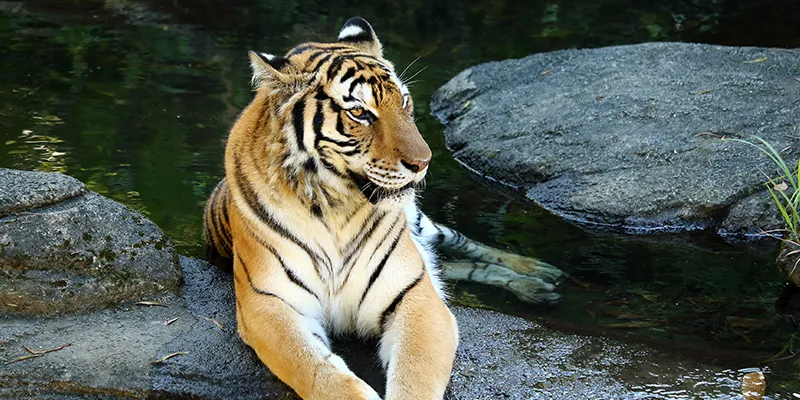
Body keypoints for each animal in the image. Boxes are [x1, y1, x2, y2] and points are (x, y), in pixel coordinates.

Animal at [202, 17, 563, 400]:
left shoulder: (415, 294)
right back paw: (537, 286)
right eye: (360, 112)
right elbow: (318, 372)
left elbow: (415, 373)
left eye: (403, 101)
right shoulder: (269, 305)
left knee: (464, 245)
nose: (423, 162)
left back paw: (539, 273)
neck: (334, 209)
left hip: (423, 225)